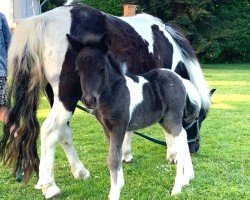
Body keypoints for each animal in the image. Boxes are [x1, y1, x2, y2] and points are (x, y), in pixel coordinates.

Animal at [66, 33, 201, 198]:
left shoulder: (119, 126)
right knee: (183, 138)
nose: (89, 100)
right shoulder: (107, 128)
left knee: (181, 141)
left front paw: (114, 194)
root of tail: (180, 79)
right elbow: (115, 155)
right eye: (78, 70)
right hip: (164, 121)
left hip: (172, 118)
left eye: (102, 69)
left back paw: (177, 187)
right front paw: (119, 185)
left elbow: (113, 159)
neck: (114, 91)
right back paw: (188, 177)